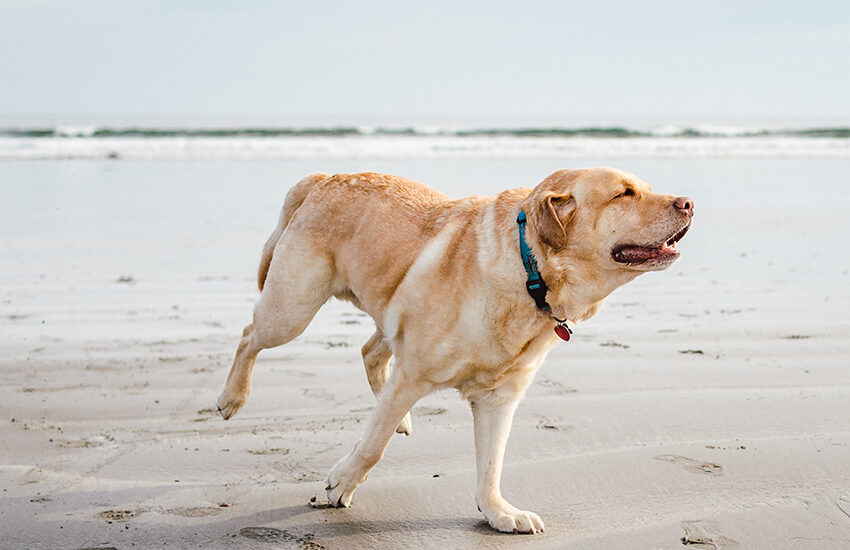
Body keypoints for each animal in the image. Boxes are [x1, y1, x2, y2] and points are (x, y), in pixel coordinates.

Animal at [217, 167, 693, 534]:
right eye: (624, 193)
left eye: (645, 188)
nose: (688, 203)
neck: (529, 271)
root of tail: (323, 178)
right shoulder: (413, 374)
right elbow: (373, 447)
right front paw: (342, 483)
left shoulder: (499, 399)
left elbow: (491, 466)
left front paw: (499, 513)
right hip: (292, 309)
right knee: (249, 335)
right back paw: (232, 398)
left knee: (371, 353)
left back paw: (400, 418)